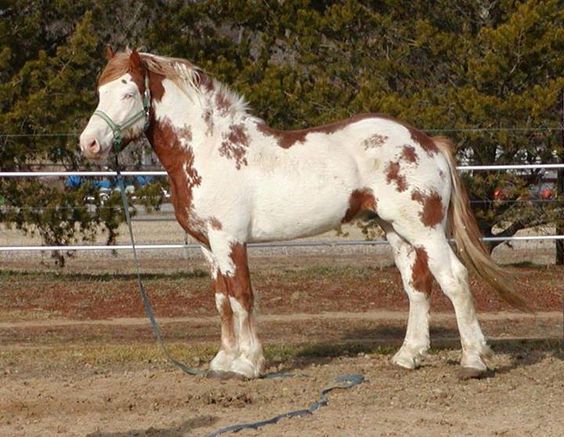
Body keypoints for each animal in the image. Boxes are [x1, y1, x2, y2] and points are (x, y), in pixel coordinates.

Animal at [77, 48, 528, 378]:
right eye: (100, 92)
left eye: (128, 93)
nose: (90, 144)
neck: (209, 150)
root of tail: (428, 142)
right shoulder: (208, 245)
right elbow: (221, 300)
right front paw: (222, 361)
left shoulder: (229, 240)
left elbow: (241, 296)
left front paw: (248, 363)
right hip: (396, 230)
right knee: (417, 286)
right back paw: (408, 356)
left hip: (425, 230)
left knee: (454, 279)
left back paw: (473, 360)